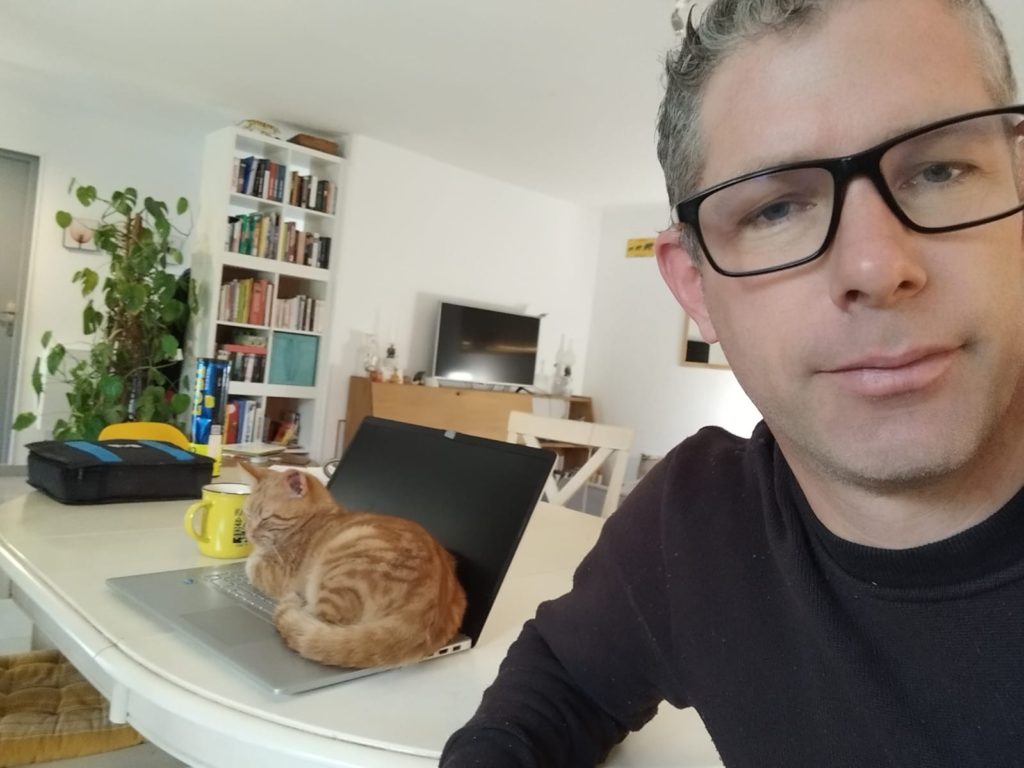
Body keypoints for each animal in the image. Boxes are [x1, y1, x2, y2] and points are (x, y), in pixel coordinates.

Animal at [239, 461, 467, 669]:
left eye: (266, 519)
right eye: (247, 515)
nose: (249, 534)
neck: (317, 518)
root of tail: (427, 611)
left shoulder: (278, 573)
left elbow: (251, 565)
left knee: (320, 620)